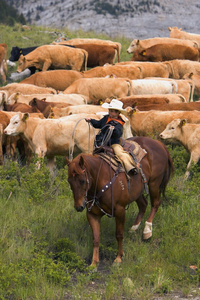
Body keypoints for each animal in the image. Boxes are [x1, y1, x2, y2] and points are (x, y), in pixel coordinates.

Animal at [66, 137, 174, 268]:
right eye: (69, 181)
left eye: (82, 180)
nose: (79, 206)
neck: (101, 178)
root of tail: (159, 144)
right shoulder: (92, 214)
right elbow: (96, 238)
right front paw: (94, 263)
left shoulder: (120, 210)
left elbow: (119, 234)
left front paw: (118, 258)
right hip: (137, 191)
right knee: (143, 204)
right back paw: (134, 227)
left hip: (154, 183)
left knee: (155, 204)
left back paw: (147, 231)